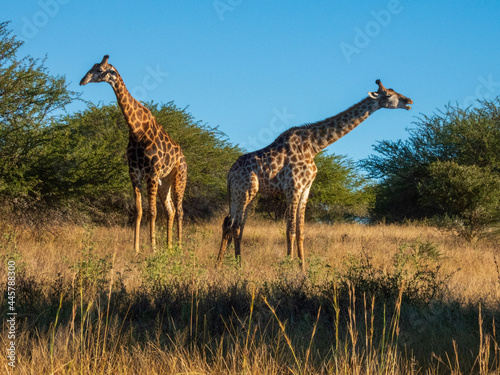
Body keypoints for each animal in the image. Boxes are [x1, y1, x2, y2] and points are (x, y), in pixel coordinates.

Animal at [80, 55, 188, 253]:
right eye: (92, 67)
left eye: (100, 70)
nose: (82, 80)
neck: (137, 130)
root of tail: (183, 157)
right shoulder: (134, 172)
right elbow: (139, 210)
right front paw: (136, 248)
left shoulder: (151, 172)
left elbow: (152, 212)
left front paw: (153, 249)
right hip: (164, 182)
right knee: (170, 210)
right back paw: (169, 247)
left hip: (179, 177)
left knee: (180, 210)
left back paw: (178, 246)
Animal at [217, 81, 412, 272]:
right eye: (388, 95)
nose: (409, 101)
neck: (314, 146)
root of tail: (229, 174)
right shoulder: (293, 187)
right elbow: (290, 230)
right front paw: (288, 267)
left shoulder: (306, 188)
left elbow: (301, 231)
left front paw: (303, 268)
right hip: (246, 191)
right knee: (236, 225)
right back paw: (238, 266)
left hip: (240, 194)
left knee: (230, 223)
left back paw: (220, 264)